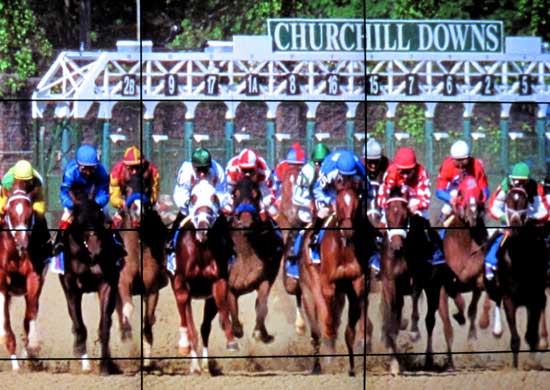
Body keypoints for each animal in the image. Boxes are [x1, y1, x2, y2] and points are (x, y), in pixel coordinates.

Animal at [0, 190, 46, 370]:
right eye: (9, 212)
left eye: (30, 213)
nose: (23, 243)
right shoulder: (1, 281)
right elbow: (5, 321)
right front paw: (15, 365)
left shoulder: (34, 277)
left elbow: (30, 313)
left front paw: (32, 346)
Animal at [115, 175, 169, 368]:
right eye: (127, 188)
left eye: (146, 186)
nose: (138, 210)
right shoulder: (122, 283)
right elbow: (128, 310)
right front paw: (128, 338)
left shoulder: (152, 288)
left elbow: (148, 319)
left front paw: (146, 357)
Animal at [170, 181, 237, 374]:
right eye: (192, 197)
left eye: (214, 197)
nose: (203, 230)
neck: (200, 248)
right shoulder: (182, 283)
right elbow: (188, 322)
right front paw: (185, 347)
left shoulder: (218, 280)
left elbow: (221, 302)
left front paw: (231, 341)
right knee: (187, 320)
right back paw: (192, 360)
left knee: (204, 327)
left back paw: (205, 365)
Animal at [227, 177, 282, 344]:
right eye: (235, 194)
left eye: (256, 195)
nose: (246, 222)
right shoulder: (229, 286)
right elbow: (232, 308)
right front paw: (237, 330)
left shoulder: (265, 278)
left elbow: (262, 306)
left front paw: (260, 333)